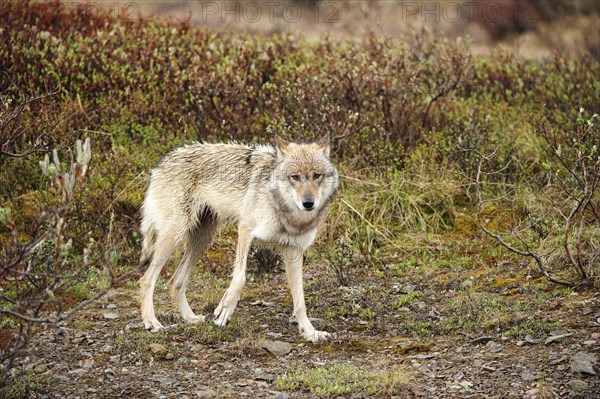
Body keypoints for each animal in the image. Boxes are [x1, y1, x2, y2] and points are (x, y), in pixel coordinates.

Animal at [138, 136, 340, 342]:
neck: (286, 213)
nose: (308, 203)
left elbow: (300, 302)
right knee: (147, 280)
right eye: (295, 177)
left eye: (317, 175)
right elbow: (240, 278)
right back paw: (151, 322)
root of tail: (163, 161)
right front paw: (225, 308)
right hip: (175, 235)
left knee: (175, 282)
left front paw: (310, 332)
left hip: (202, 240)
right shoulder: (245, 229)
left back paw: (190, 318)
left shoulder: (294, 252)